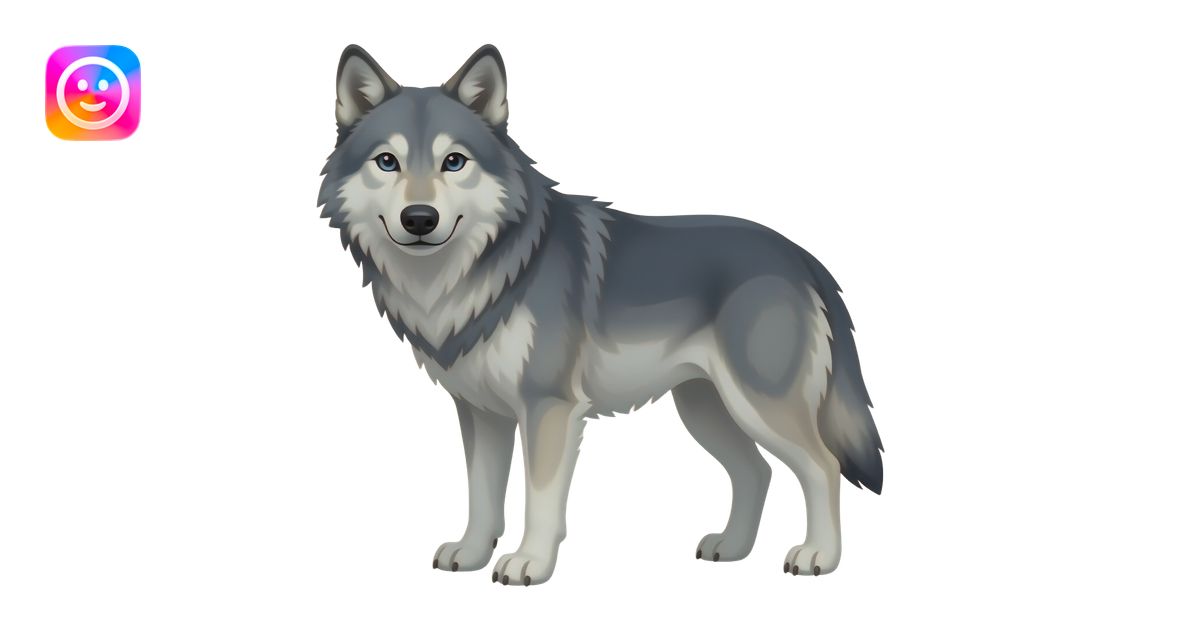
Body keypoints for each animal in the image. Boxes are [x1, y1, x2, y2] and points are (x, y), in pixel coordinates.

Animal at [317, 44, 883, 586]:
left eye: (453, 161)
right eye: (387, 162)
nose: (419, 219)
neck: (479, 273)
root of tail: (801, 256)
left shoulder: (548, 408)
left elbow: (540, 500)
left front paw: (529, 563)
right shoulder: (480, 412)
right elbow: (482, 497)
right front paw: (472, 554)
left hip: (759, 407)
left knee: (823, 466)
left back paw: (818, 557)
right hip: (705, 410)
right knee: (756, 472)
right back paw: (731, 546)